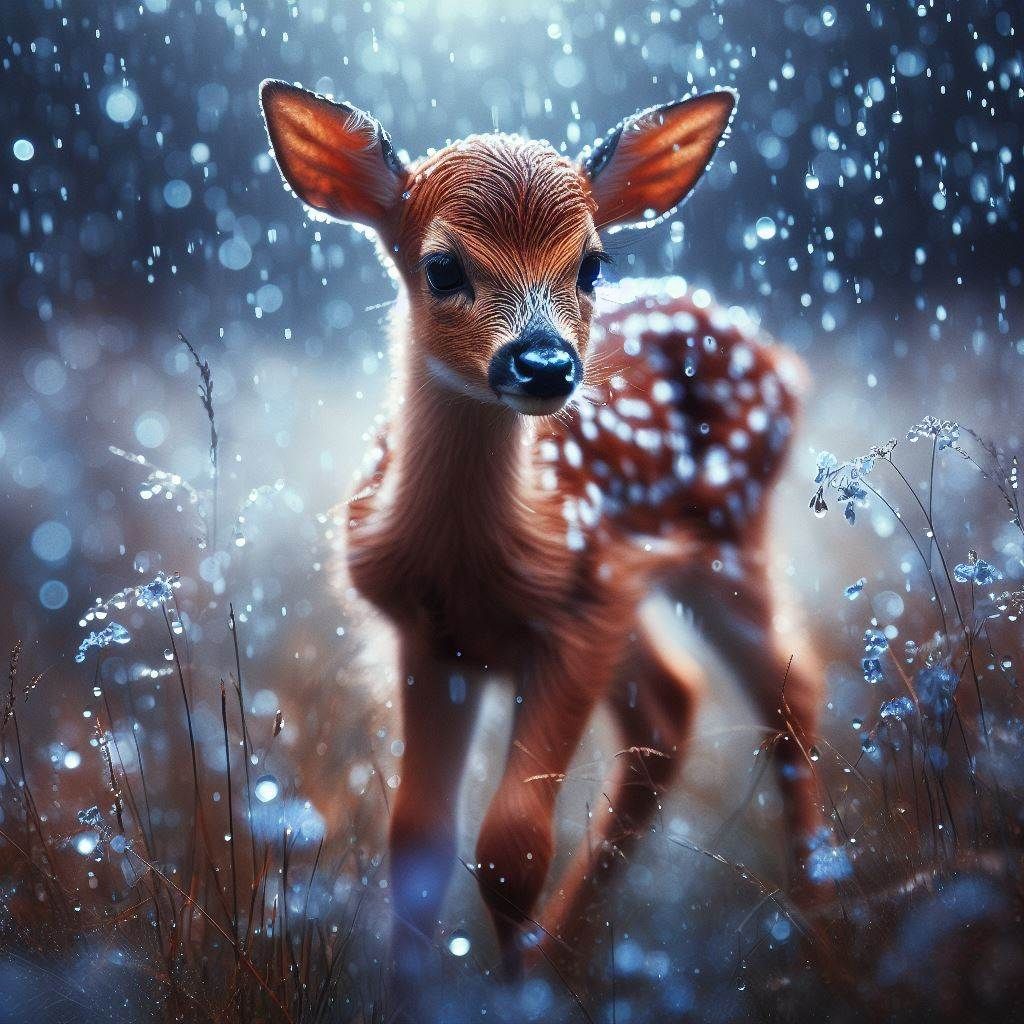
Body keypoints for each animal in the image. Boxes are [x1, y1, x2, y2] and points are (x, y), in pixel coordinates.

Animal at [259, 79, 825, 992]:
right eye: (442, 267)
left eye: (592, 263)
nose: (545, 363)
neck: (468, 562)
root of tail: (779, 357)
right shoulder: (433, 638)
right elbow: (416, 840)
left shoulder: (578, 612)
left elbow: (511, 848)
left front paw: (518, 992)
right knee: (672, 709)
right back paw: (569, 952)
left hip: (726, 539)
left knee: (789, 688)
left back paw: (818, 922)